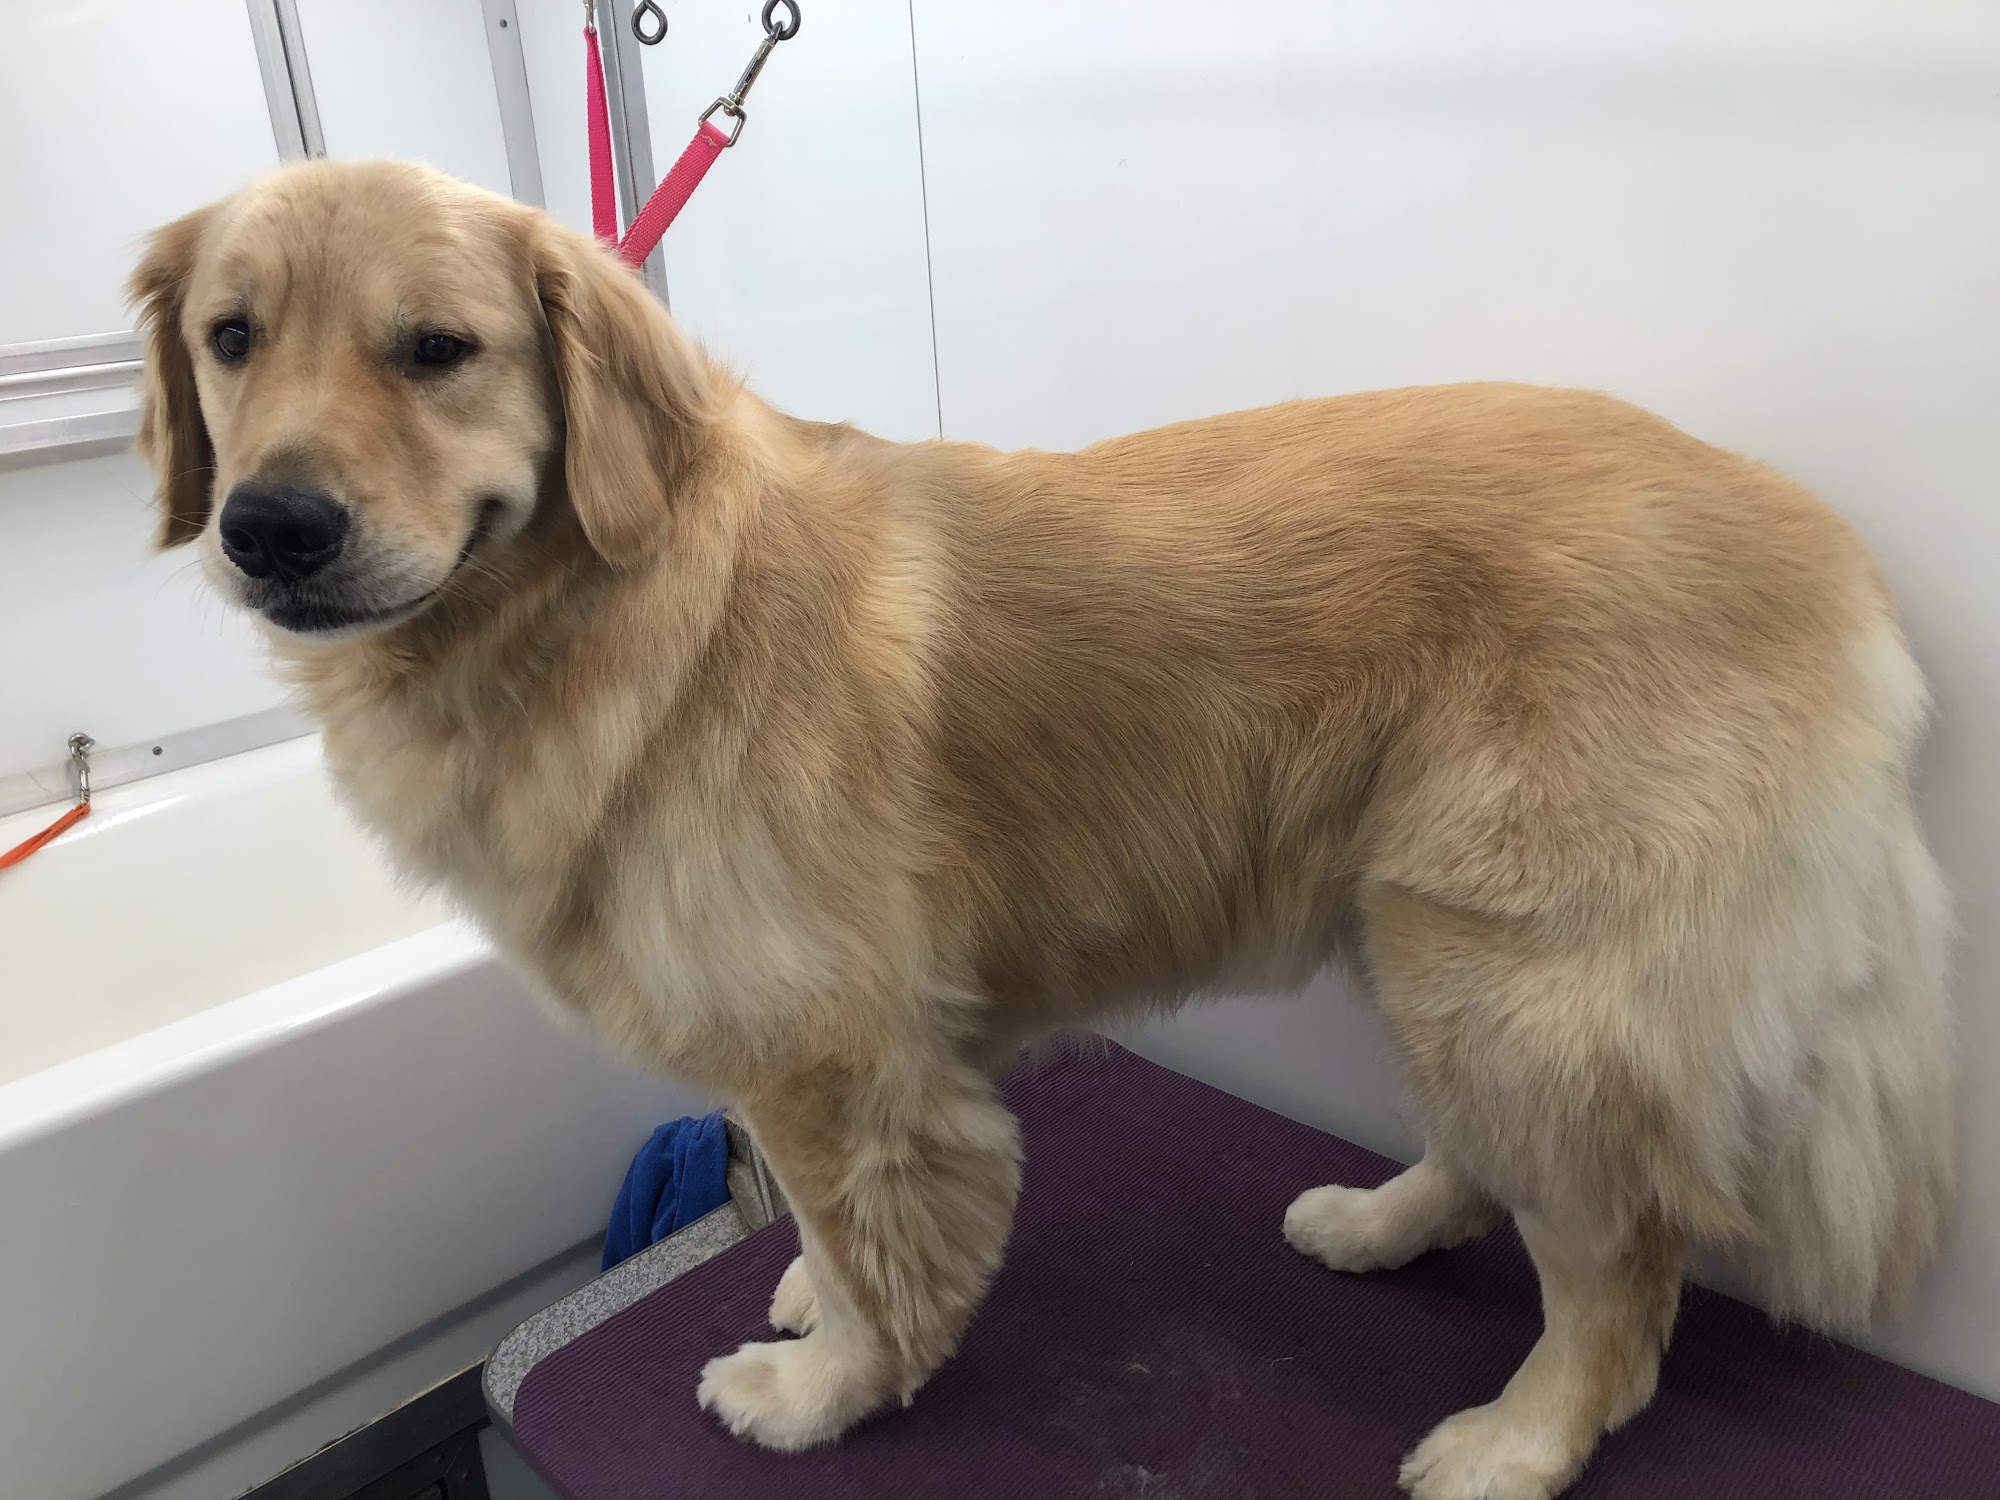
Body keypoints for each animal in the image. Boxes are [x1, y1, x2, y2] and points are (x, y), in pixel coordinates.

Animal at [130, 160, 1953, 1500]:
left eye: (436, 349)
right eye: (233, 336)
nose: (270, 526)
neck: (609, 606)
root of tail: (1827, 547)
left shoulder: (838, 1054)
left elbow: (876, 1256)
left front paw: (821, 1388)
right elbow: (829, 1231)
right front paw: (807, 1294)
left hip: (1519, 969)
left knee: (1623, 1261)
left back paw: (1523, 1439)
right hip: (1428, 931)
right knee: (1508, 1170)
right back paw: (1378, 1225)